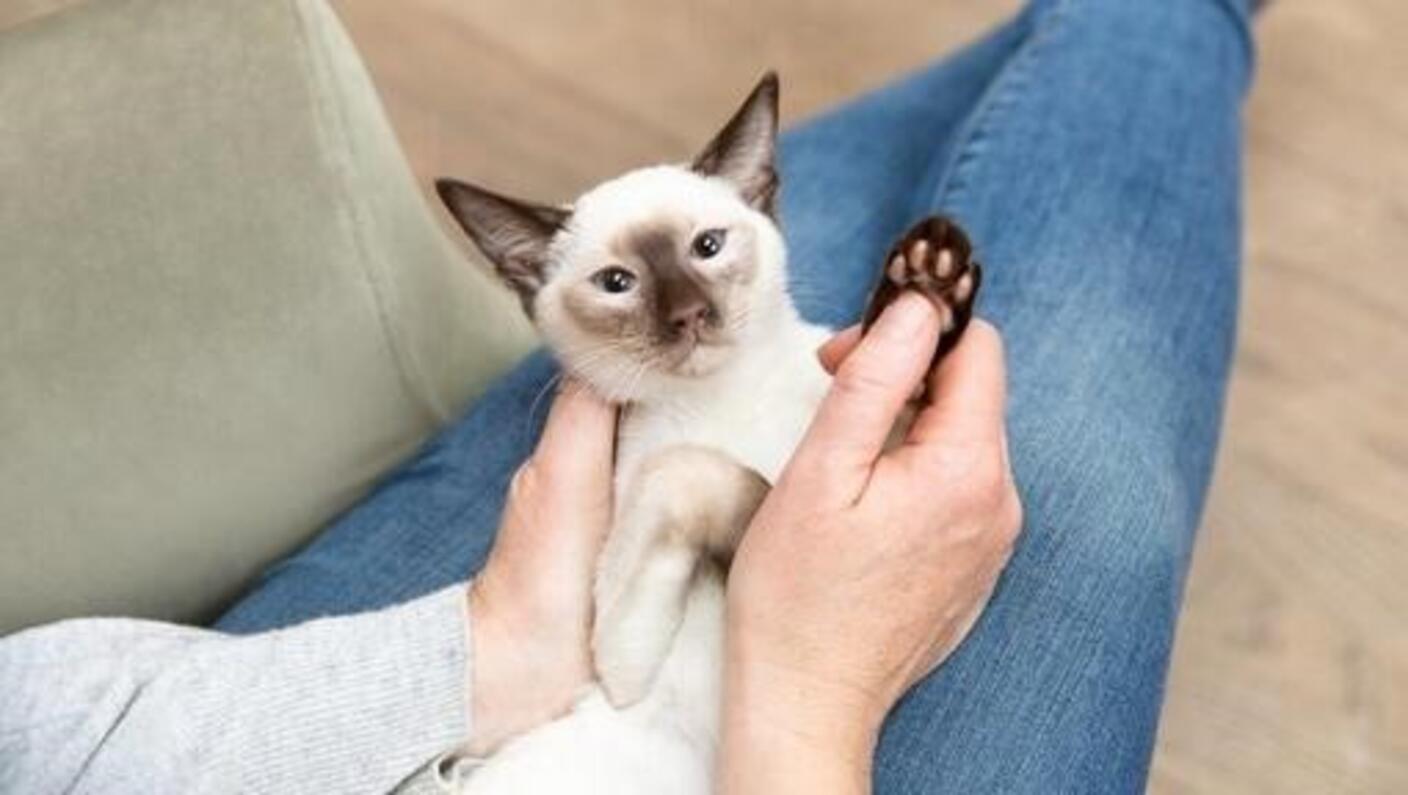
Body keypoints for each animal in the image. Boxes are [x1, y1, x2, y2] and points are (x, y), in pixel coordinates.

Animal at [436, 71, 979, 787]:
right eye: (618, 283)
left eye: (708, 248)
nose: (690, 315)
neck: (725, 398)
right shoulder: (623, 635)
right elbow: (699, 473)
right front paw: (767, 512)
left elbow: (903, 372)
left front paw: (930, 275)